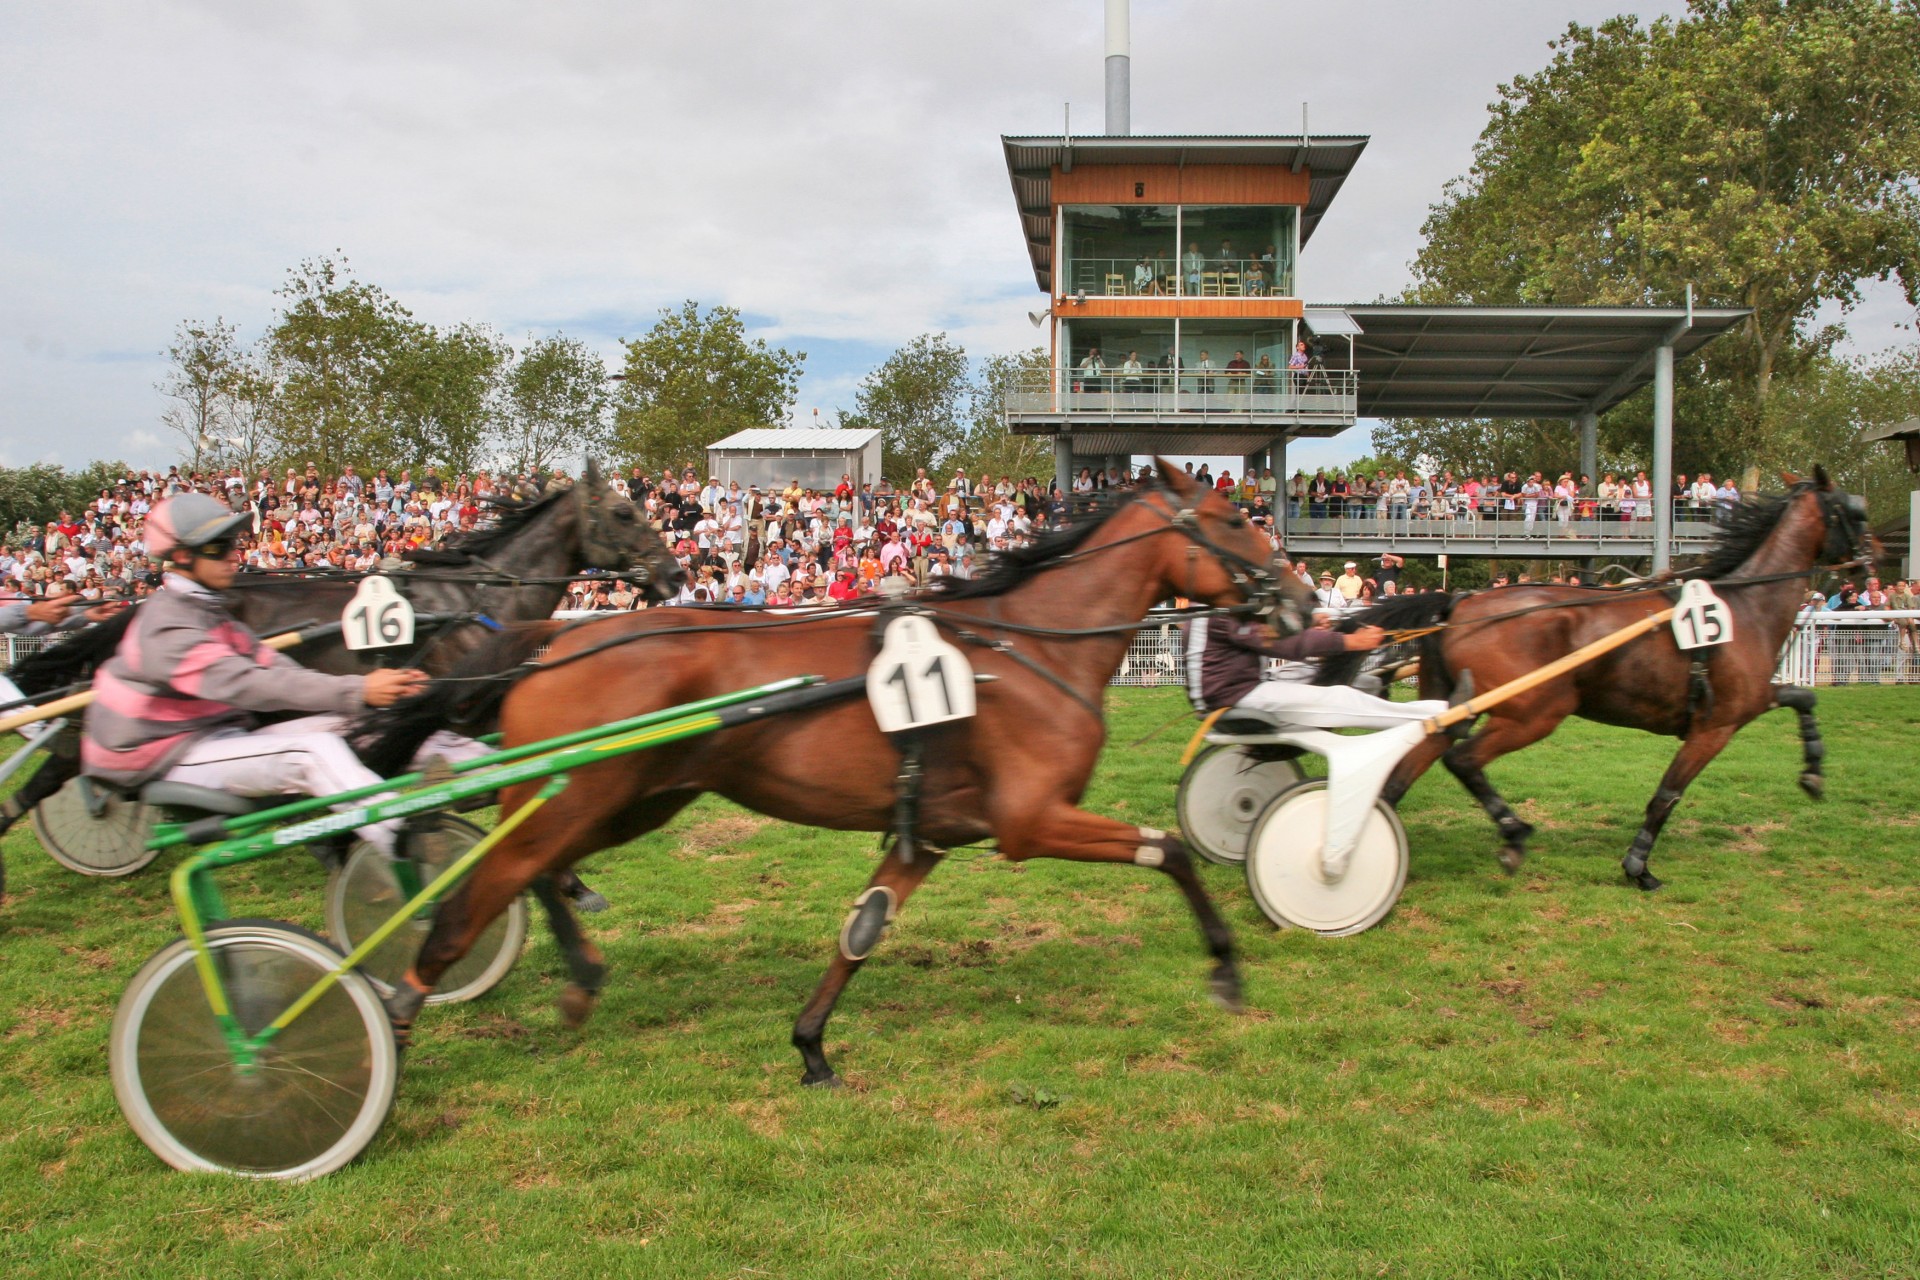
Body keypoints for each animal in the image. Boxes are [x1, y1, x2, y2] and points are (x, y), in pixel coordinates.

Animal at [1313, 470, 1866, 890]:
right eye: (1854, 512)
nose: (1868, 560)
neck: (1745, 606)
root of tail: (1459, 604)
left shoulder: (1747, 702)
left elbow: (1802, 696)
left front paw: (1814, 771)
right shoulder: (1715, 726)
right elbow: (1667, 794)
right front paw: (1638, 866)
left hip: (1453, 705)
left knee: (1407, 769)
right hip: (1535, 711)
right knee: (1463, 759)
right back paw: (1512, 834)